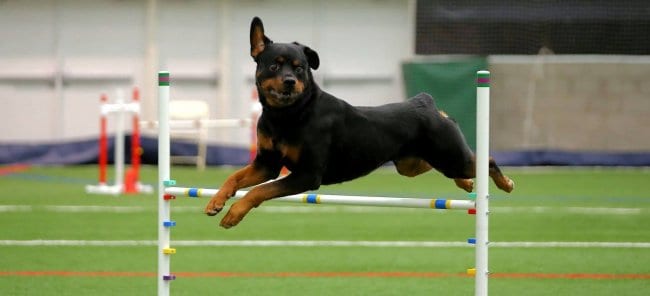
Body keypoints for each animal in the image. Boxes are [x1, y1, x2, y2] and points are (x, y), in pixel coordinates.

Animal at [205, 16, 512, 229]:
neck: (289, 115)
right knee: (443, 166)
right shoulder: (266, 163)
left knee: (486, 160)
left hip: (449, 154)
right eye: (274, 65)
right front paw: (216, 201)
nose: (290, 81)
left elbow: (259, 191)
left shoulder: (307, 175)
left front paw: (233, 214)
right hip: (412, 163)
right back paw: (466, 184)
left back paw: (506, 183)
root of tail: (427, 104)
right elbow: (235, 178)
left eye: (300, 68)